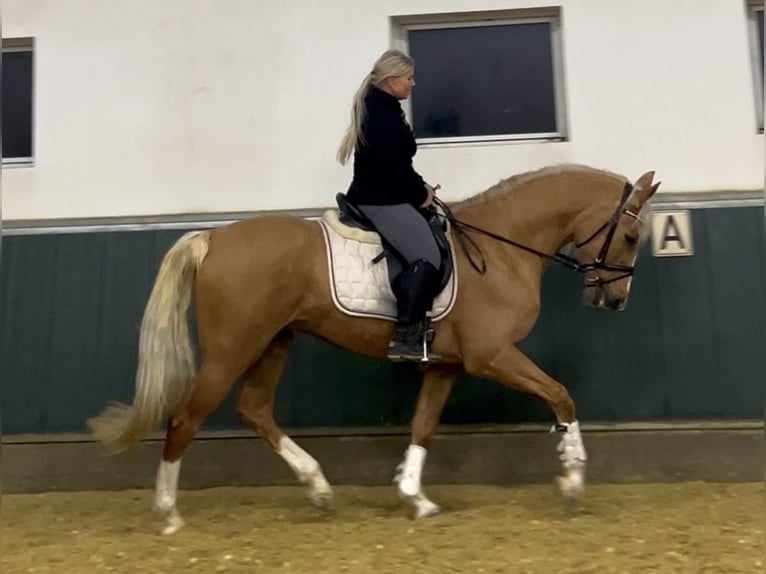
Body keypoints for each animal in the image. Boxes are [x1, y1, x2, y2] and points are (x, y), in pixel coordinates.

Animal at [88, 163, 660, 534]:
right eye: (633, 237)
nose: (615, 300)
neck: (501, 248)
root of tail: (212, 238)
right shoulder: (491, 355)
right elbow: (561, 395)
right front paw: (572, 478)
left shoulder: (447, 365)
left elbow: (423, 426)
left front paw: (415, 498)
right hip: (234, 348)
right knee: (186, 418)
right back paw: (168, 514)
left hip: (274, 341)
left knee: (254, 409)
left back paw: (318, 489)